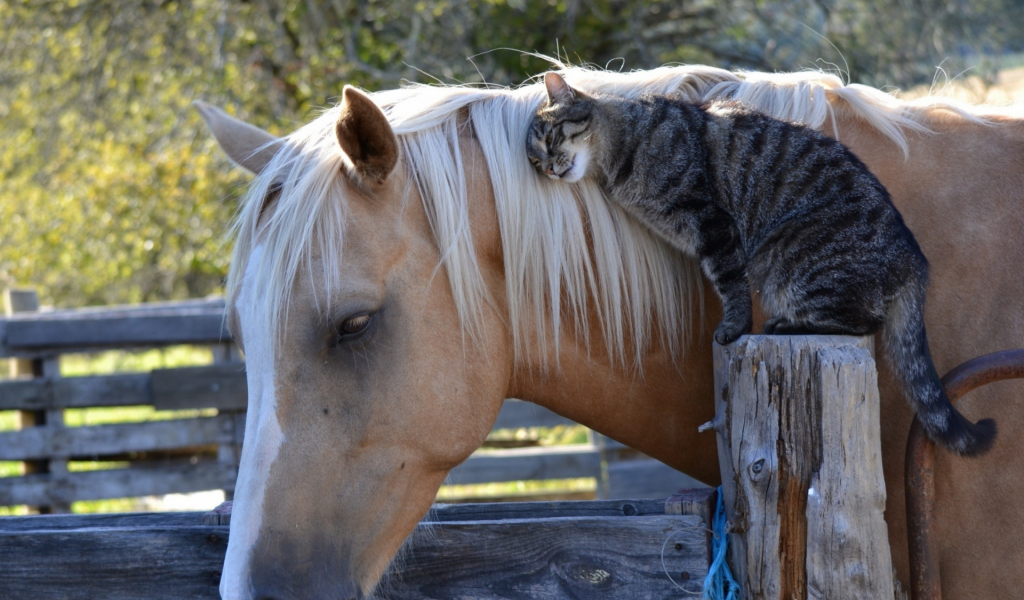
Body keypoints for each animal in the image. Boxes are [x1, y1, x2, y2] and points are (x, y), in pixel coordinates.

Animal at [532, 71, 995, 452]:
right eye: (535, 161)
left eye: (550, 139)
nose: (548, 169)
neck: (623, 150)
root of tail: (914, 260)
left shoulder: (713, 224)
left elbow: (731, 284)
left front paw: (733, 327)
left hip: (788, 258)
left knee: (861, 322)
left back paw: (785, 324)